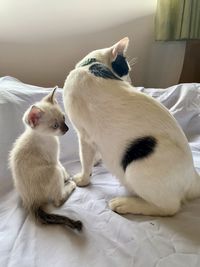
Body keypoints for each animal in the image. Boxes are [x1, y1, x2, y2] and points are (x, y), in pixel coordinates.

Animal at [9, 87, 82, 230]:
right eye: (55, 126)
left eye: (63, 118)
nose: (66, 128)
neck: (43, 136)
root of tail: (31, 203)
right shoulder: (54, 159)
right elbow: (62, 168)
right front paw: (67, 178)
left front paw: (67, 177)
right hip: (53, 171)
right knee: (57, 201)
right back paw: (70, 185)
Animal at [63, 37, 200, 218]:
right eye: (126, 70)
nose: (130, 81)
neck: (90, 65)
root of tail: (193, 176)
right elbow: (93, 154)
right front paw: (97, 159)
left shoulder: (83, 135)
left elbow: (84, 160)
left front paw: (83, 179)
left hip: (135, 169)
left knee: (170, 208)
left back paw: (125, 204)